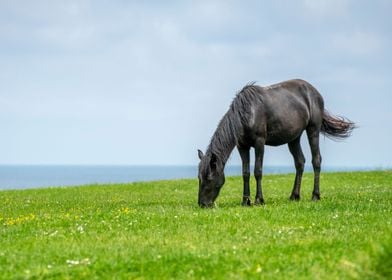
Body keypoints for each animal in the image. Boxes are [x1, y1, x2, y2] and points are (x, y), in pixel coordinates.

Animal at [198, 79, 354, 208]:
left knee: (316, 160)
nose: (202, 204)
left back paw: (315, 196)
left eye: (209, 178)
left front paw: (259, 200)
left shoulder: (259, 143)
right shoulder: (242, 146)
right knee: (300, 162)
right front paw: (245, 201)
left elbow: (258, 171)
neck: (247, 114)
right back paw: (294, 196)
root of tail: (315, 92)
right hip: (294, 138)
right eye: (199, 177)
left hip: (313, 129)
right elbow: (245, 173)